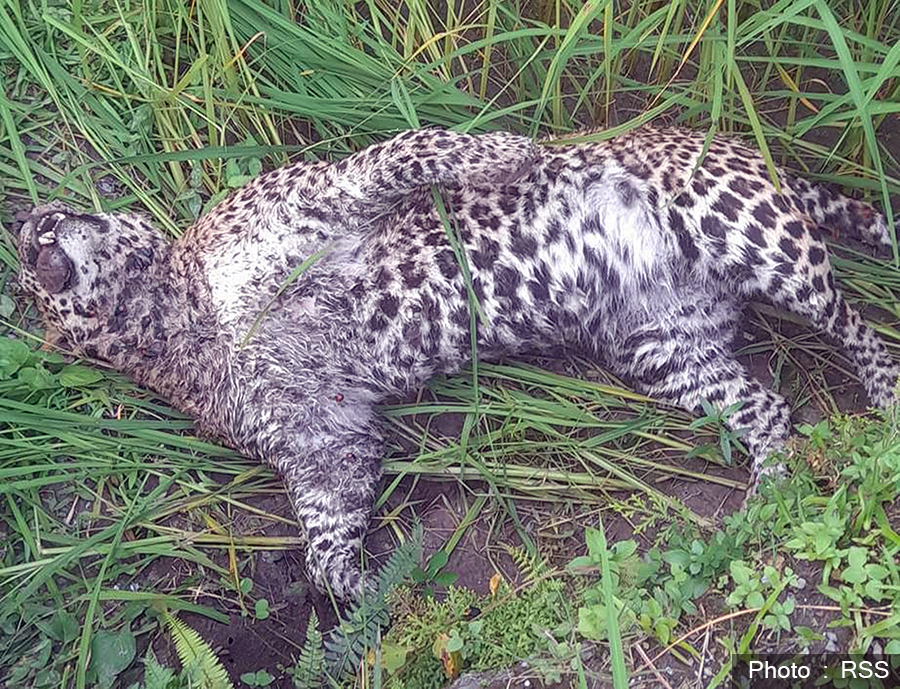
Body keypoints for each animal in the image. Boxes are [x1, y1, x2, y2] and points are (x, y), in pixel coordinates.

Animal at [14, 123, 900, 596]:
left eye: (48, 215)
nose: (27, 230)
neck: (177, 327)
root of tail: (751, 152)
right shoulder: (329, 440)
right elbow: (325, 537)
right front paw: (367, 589)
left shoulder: (321, 196)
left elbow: (411, 149)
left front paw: (514, 152)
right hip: (663, 348)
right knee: (771, 410)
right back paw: (764, 511)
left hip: (751, 232)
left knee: (858, 324)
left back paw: (883, 400)